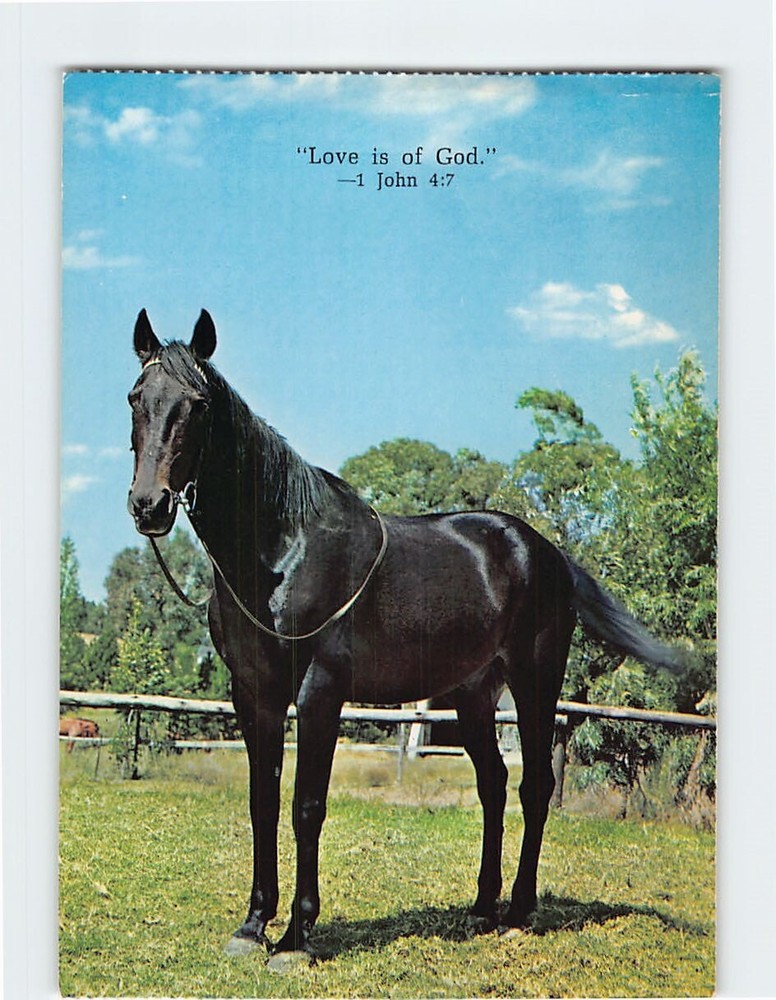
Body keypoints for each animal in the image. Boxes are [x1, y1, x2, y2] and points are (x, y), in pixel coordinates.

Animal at [127, 308, 680, 964]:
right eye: (136, 398)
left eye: (198, 404)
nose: (149, 505)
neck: (280, 553)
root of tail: (546, 553)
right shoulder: (253, 693)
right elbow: (263, 801)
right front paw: (252, 926)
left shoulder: (319, 692)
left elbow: (306, 805)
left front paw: (295, 939)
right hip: (472, 694)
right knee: (493, 785)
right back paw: (482, 908)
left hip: (535, 680)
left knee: (535, 786)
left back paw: (519, 912)